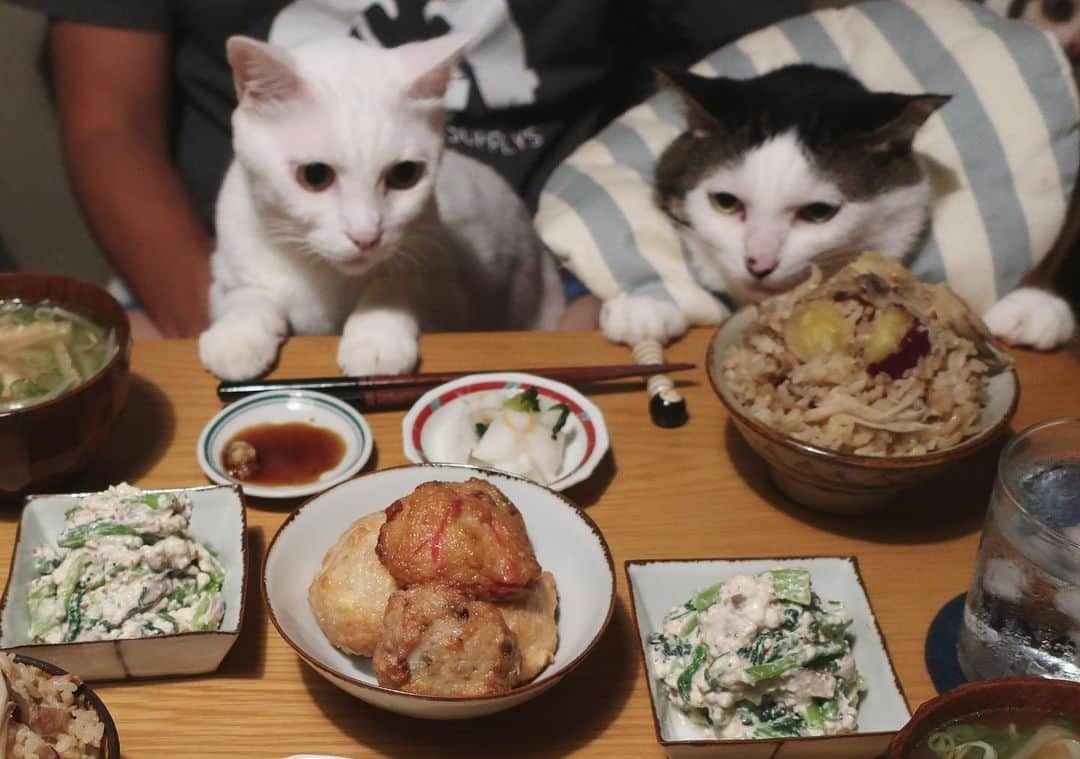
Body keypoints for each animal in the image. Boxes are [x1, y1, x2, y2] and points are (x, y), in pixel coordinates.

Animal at [198, 34, 565, 380]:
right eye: (314, 176)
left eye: (405, 175)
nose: (366, 236)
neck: (322, 274)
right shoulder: (225, 276)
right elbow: (247, 294)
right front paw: (236, 336)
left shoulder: (447, 284)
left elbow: (399, 283)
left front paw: (376, 334)